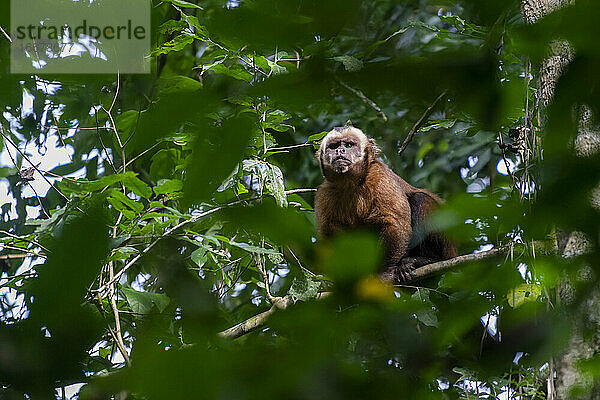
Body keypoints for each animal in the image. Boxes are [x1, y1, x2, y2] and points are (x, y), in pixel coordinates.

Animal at [314, 126, 454, 282]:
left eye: (349, 145)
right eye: (333, 146)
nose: (340, 150)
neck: (350, 184)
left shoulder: (380, 176)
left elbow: (395, 224)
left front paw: (383, 273)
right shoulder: (324, 194)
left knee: (421, 199)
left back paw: (427, 260)